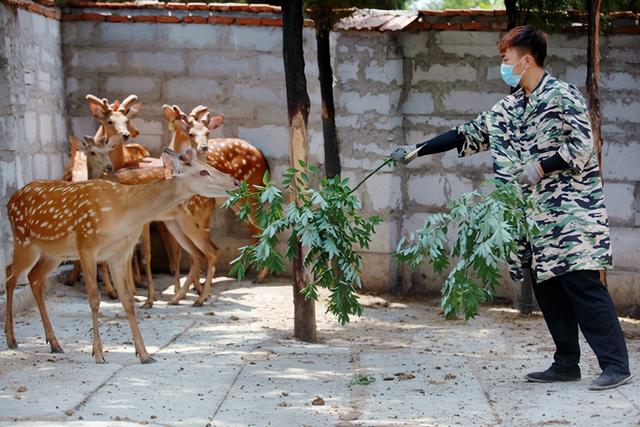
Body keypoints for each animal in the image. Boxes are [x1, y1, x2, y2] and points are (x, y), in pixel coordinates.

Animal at [4, 149, 235, 362]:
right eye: (203, 171)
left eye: (208, 166)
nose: (234, 181)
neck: (124, 212)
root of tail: (10, 200)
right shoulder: (87, 246)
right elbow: (94, 299)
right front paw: (98, 353)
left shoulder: (119, 253)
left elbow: (128, 300)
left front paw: (144, 354)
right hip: (25, 241)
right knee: (11, 275)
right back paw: (11, 339)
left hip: (55, 253)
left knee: (34, 278)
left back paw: (54, 343)